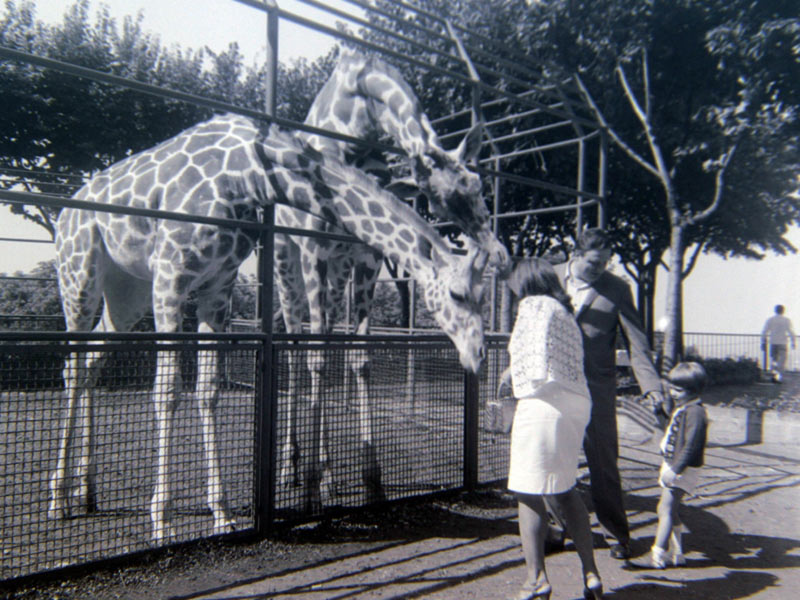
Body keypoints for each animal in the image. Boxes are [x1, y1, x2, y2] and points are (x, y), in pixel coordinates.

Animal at [50, 112, 488, 542]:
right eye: (457, 294)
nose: (480, 354)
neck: (248, 173)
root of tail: (66, 209)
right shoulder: (170, 276)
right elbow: (167, 391)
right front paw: (162, 520)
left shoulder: (217, 286)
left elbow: (208, 391)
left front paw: (222, 513)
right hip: (81, 275)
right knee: (72, 367)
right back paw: (59, 498)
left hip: (127, 291)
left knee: (91, 363)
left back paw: (87, 490)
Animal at [275, 50, 509, 507]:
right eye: (442, 199)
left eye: (477, 185)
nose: (500, 255)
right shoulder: (313, 247)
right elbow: (315, 359)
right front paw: (309, 486)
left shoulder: (367, 255)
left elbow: (360, 357)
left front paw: (371, 478)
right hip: (285, 259)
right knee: (295, 347)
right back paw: (291, 468)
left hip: (339, 269)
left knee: (328, 336)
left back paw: (329, 473)